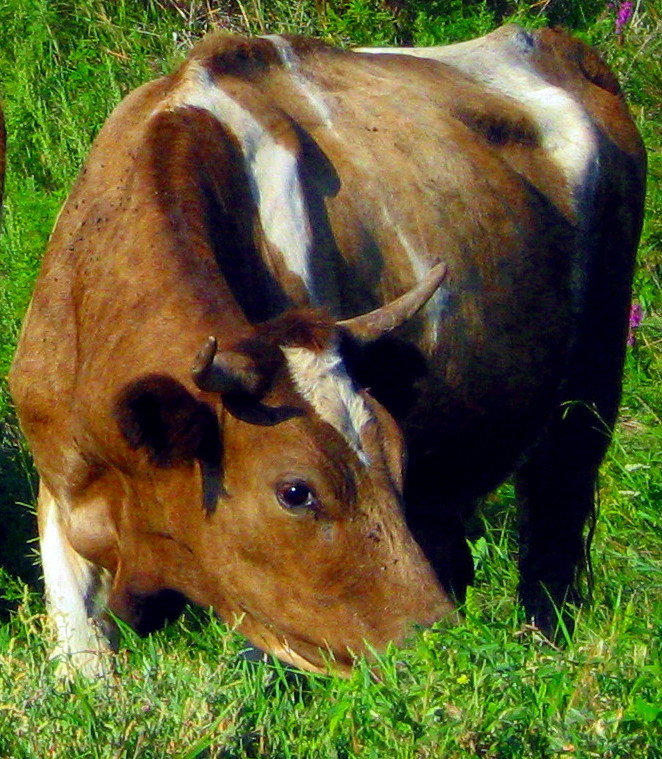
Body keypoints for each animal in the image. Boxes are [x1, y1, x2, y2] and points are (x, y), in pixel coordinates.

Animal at [6, 25, 648, 676]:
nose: (427, 635)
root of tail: (545, 39)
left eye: (397, 456)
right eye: (297, 491)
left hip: (587, 402)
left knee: (552, 548)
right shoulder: (61, 500)